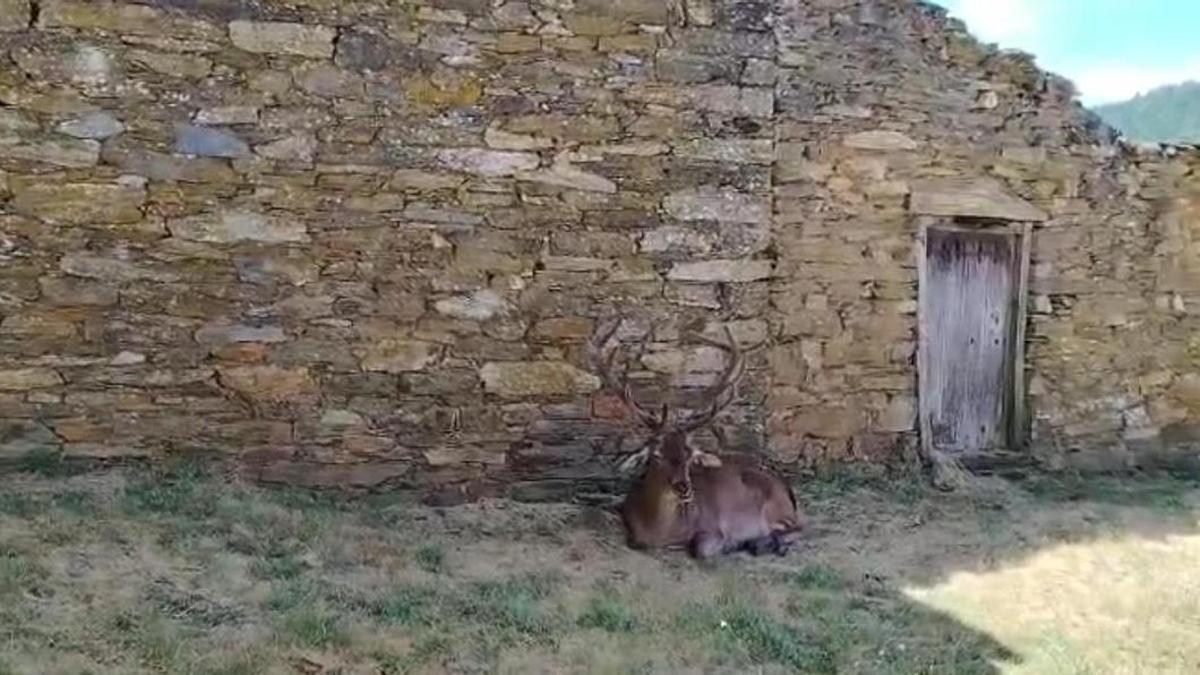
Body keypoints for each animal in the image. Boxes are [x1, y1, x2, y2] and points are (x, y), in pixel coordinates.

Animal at [588, 318, 805, 561]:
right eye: (657, 455)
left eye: (690, 455)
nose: (684, 488)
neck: (661, 533)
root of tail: (786, 487)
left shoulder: (714, 525)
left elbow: (701, 549)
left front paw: (730, 544)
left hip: (775, 507)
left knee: (798, 528)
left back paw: (762, 543)